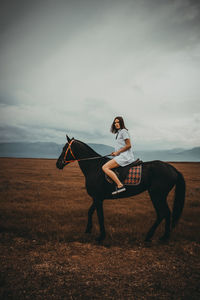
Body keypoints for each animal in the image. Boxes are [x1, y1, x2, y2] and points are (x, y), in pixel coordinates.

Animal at [55, 136, 185, 244]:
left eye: (64, 148)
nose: (58, 164)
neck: (94, 167)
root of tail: (173, 169)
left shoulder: (98, 198)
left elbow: (100, 216)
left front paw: (101, 237)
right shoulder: (97, 198)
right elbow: (90, 211)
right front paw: (88, 229)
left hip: (157, 195)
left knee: (162, 213)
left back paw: (150, 236)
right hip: (160, 196)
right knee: (167, 213)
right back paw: (164, 237)